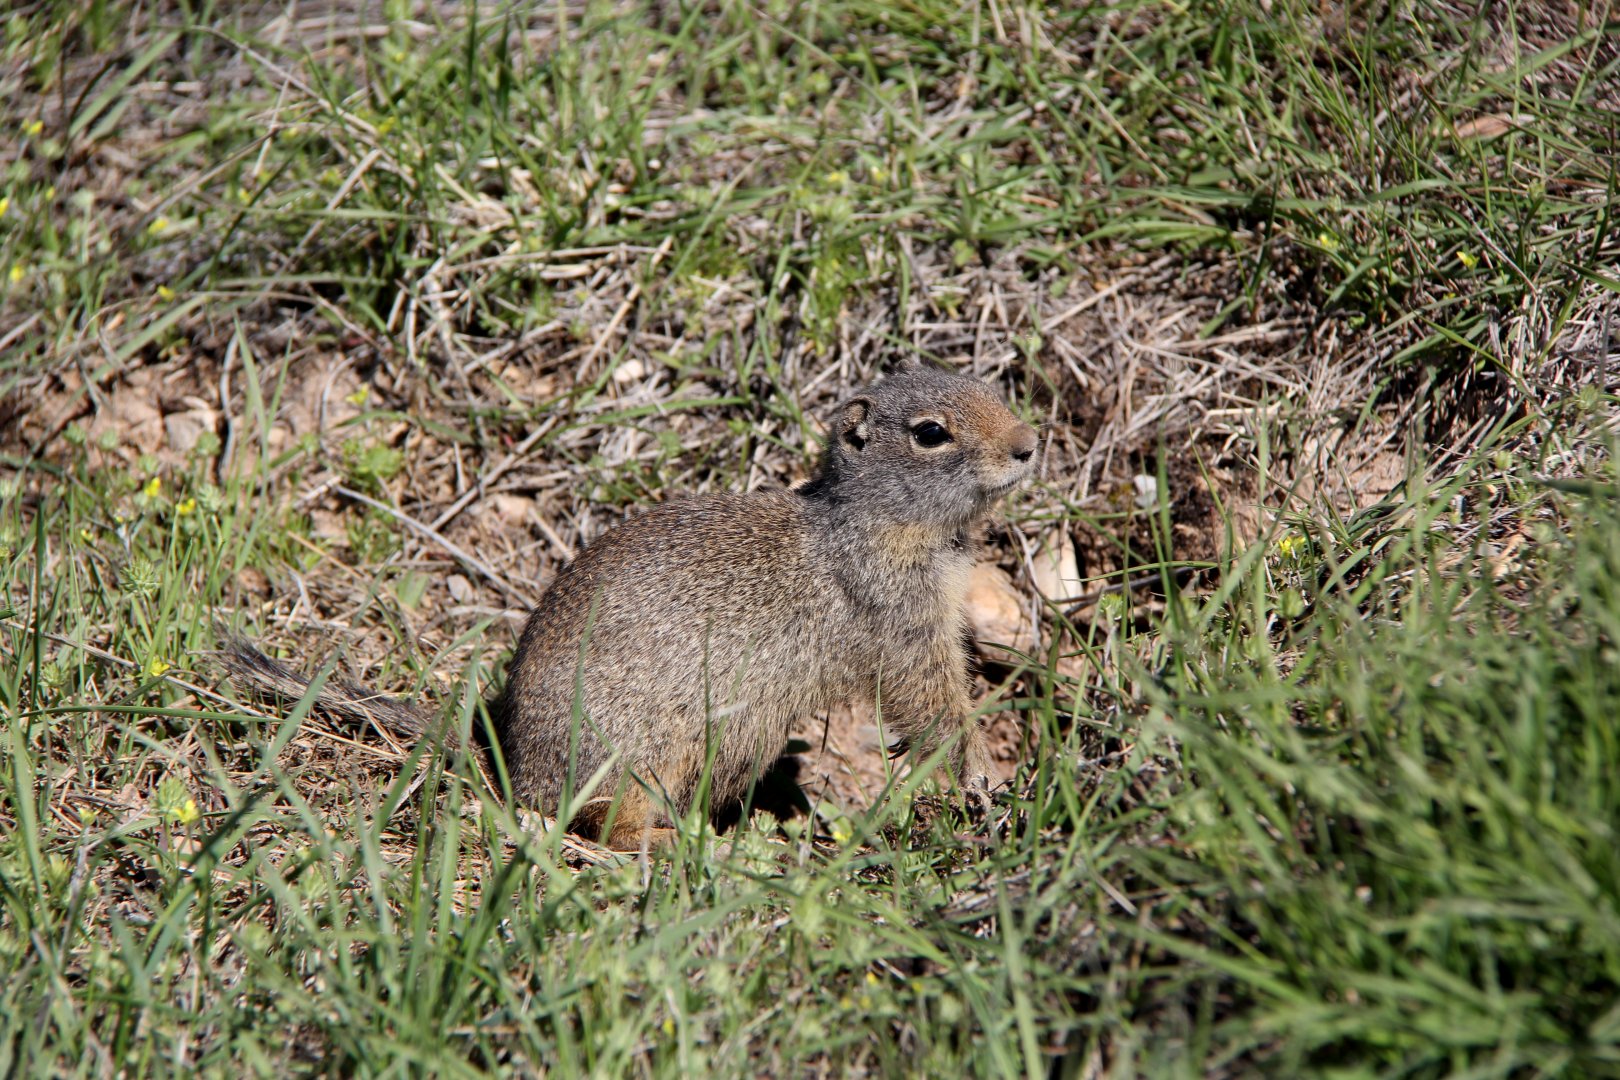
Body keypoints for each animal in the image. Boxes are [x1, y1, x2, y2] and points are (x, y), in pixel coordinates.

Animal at [226, 364, 1038, 850]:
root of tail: (511, 760)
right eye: (931, 433)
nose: (1032, 442)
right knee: (602, 822)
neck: (867, 519)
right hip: (643, 753)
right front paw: (979, 778)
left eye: (990, 386)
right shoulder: (900, 619)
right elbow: (932, 703)